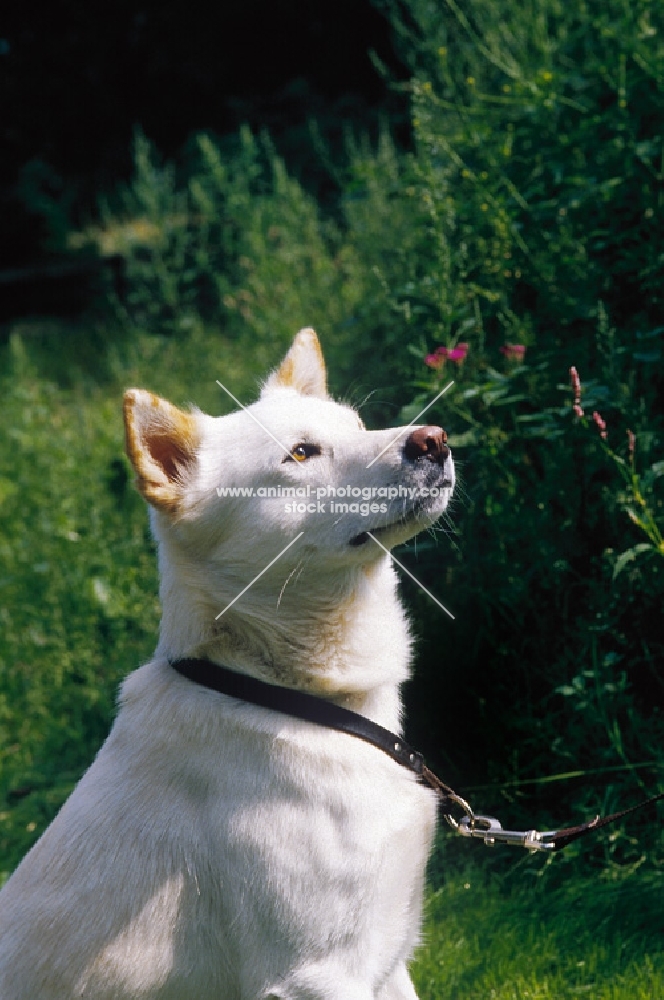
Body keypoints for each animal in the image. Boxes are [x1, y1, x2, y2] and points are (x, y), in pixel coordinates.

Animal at [0, 332, 454, 996]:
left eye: (357, 425)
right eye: (301, 454)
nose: (435, 439)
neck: (274, 690)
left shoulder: (385, 959)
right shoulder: (318, 974)